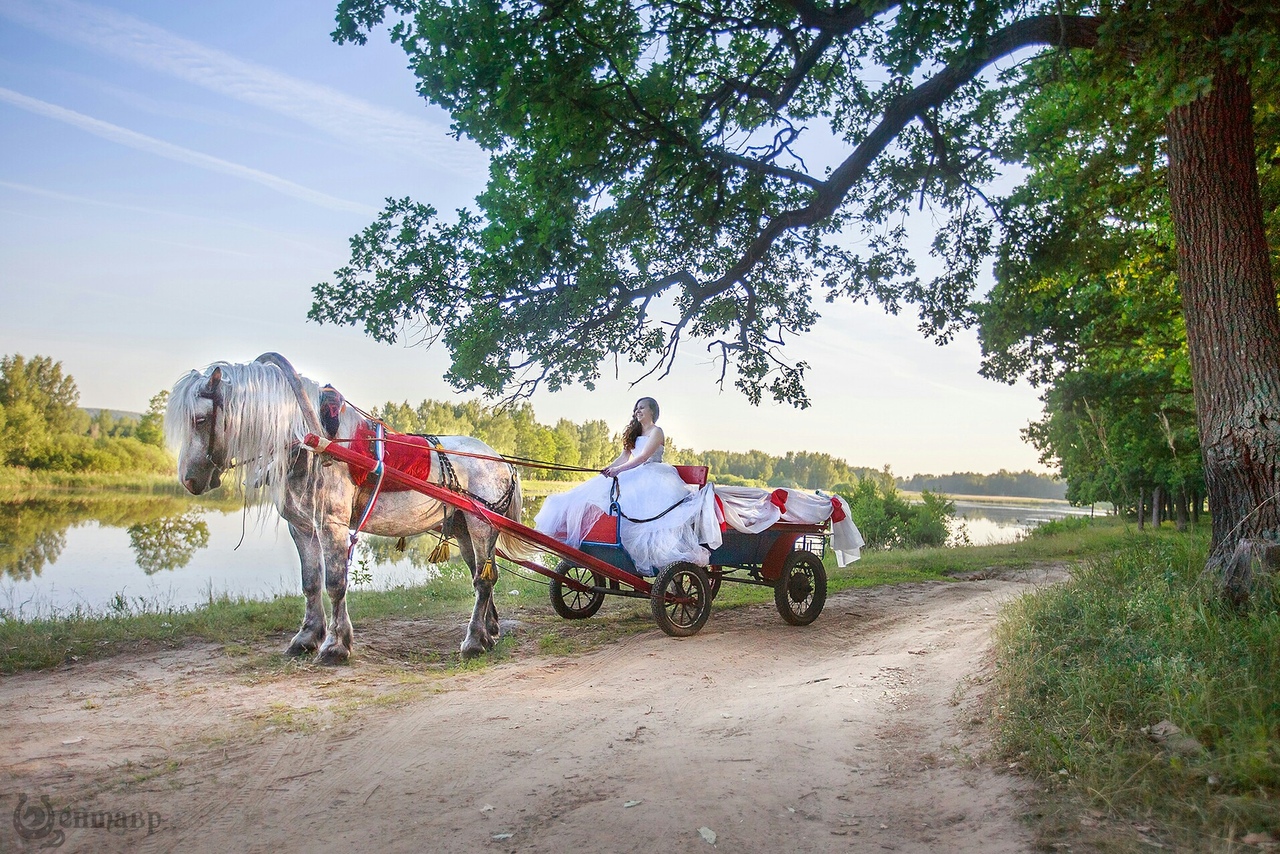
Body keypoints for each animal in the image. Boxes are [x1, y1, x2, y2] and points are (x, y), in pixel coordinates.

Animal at [167, 353, 527, 660]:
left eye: (200, 419)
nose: (189, 480)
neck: (314, 444)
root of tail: (500, 460)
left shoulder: (332, 526)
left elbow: (335, 583)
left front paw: (336, 645)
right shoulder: (302, 527)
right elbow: (311, 582)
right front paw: (306, 637)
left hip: (481, 526)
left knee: (483, 580)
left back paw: (475, 640)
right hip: (464, 528)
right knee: (482, 572)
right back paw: (490, 629)